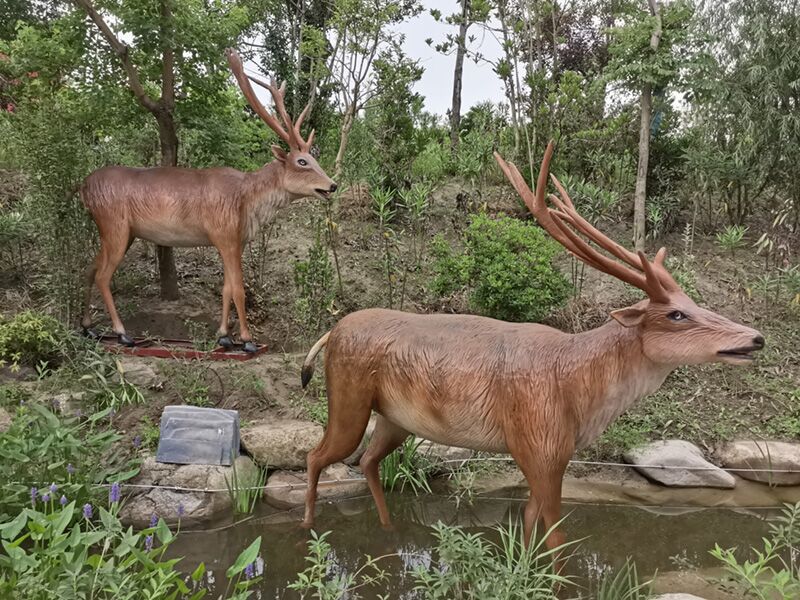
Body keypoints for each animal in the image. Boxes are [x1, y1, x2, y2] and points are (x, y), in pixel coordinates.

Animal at [78, 49, 334, 350]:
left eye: (314, 158)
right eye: (302, 161)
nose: (332, 185)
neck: (248, 201)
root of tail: (84, 187)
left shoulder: (234, 240)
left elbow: (226, 288)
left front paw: (223, 336)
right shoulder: (224, 233)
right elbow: (238, 288)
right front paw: (247, 339)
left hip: (119, 231)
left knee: (90, 269)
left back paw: (88, 327)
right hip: (114, 224)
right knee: (103, 275)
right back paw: (122, 333)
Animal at [296, 141, 764, 556]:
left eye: (694, 303)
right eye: (676, 315)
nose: (755, 338)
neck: (578, 385)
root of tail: (332, 333)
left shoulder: (548, 451)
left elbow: (528, 522)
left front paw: (521, 568)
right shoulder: (540, 442)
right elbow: (555, 532)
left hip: (396, 418)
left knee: (368, 461)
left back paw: (386, 528)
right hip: (348, 395)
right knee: (318, 455)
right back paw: (309, 530)